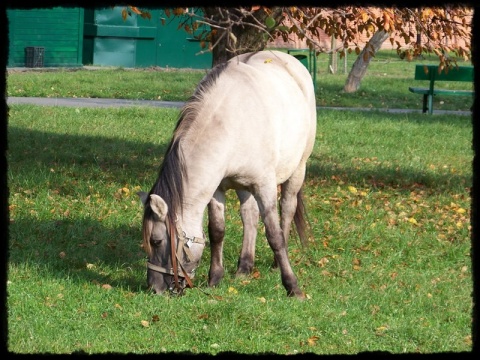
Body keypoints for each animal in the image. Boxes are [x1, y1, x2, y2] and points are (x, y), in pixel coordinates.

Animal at [139, 50, 316, 298]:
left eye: (156, 241)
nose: (154, 288)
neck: (229, 122)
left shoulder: (265, 186)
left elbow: (274, 235)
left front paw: (292, 286)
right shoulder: (217, 188)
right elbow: (217, 231)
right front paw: (214, 278)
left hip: (298, 169)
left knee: (287, 209)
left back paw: (274, 264)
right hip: (244, 185)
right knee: (250, 215)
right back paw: (244, 266)